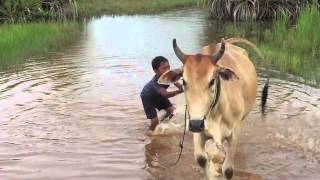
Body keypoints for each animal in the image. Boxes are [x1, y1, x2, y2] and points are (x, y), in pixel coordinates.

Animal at [158, 37, 268, 179]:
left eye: (212, 81)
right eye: (184, 81)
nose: (196, 124)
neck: (216, 112)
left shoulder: (235, 133)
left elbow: (228, 169)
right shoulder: (198, 128)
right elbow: (201, 159)